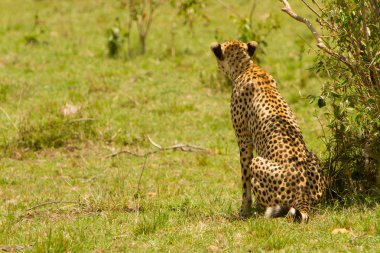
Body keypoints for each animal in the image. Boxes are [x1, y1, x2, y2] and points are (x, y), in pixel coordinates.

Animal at [209, 40, 326, 222]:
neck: (246, 68)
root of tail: (304, 197)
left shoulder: (243, 139)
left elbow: (245, 180)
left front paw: (243, 211)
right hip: (314, 160)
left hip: (258, 163)